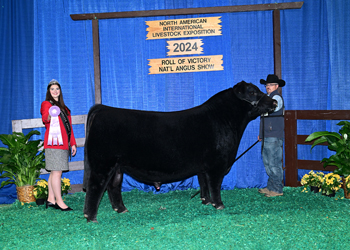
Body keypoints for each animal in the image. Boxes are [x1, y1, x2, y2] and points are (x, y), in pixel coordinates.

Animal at [82, 80, 276, 221]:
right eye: (252, 92)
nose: (274, 101)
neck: (225, 120)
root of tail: (103, 109)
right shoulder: (217, 165)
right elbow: (215, 185)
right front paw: (219, 205)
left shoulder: (204, 167)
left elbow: (204, 183)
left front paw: (205, 202)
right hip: (102, 164)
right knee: (95, 187)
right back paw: (91, 217)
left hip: (117, 166)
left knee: (113, 186)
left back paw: (121, 209)